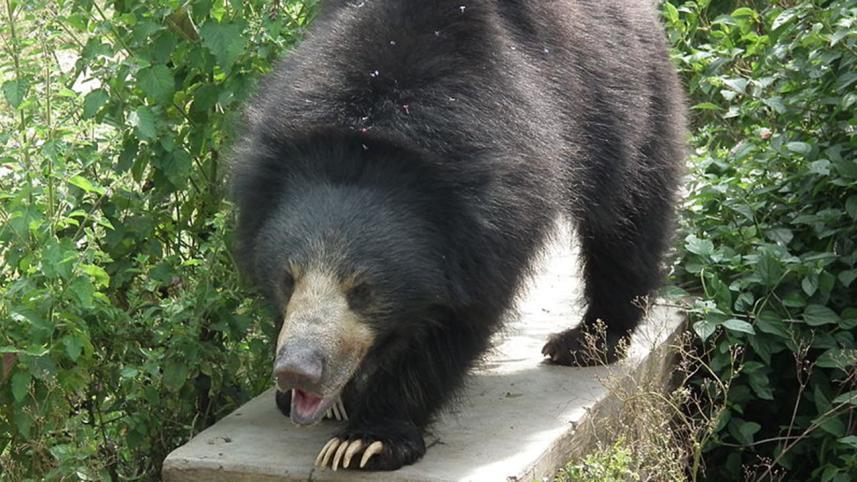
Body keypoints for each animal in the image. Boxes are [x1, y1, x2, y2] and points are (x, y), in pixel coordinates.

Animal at [230, 0, 685, 471]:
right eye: (288, 280)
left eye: (363, 290)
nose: (296, 371)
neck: (373, 135)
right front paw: (331, 402)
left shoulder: (492, 219)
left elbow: (456, 322)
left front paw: (367, 440)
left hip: (628, 100)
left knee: (629, 217)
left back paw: (586, 342)